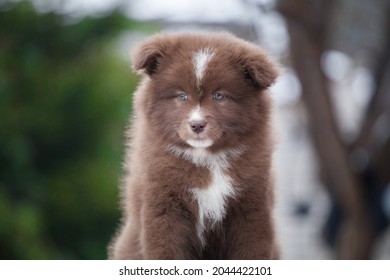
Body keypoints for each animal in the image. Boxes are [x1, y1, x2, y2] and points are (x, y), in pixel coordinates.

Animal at [108, 31, 278, 260]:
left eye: (219, 96)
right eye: (182, 96)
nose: (197, 125)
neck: (207, 160)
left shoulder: (251, 205)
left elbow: (252, 250)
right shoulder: (163, 206)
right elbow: (166, 252)